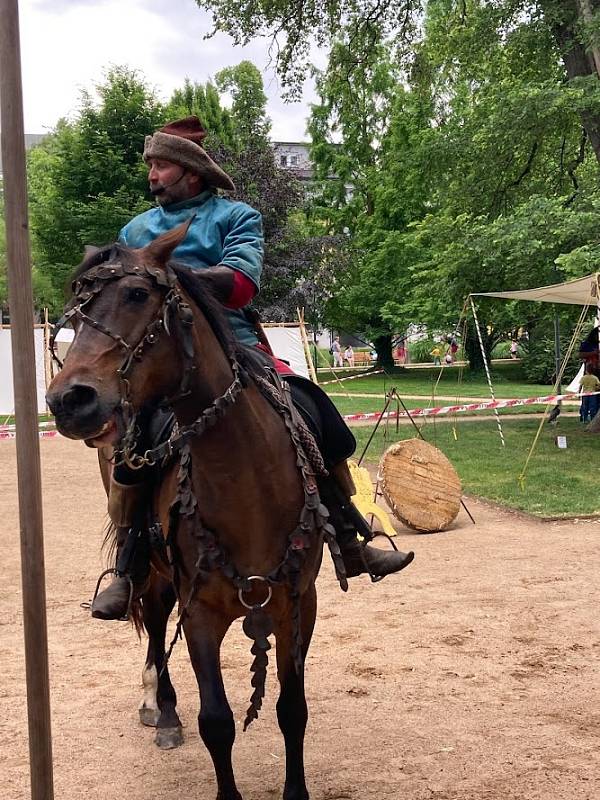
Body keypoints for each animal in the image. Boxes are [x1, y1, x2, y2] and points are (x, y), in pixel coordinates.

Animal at [45, 223, 342, 800]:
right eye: (75, 308)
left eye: (137, 294)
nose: (69, 401)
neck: (247, 482)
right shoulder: (199, 610)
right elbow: (217, 722)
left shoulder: (299, 605)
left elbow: (292, 710)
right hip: (156, 570)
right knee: (156, 621)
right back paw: (163, 711)